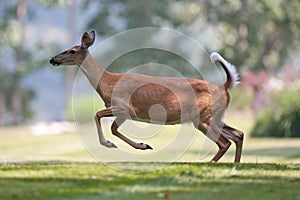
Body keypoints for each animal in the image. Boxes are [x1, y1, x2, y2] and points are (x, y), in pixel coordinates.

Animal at [49, 30, 244, 162]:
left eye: (72, 51)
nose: (52, 59)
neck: (108, 82)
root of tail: (224, 86)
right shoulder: (122, 111)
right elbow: (112, 127)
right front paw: (143, 145)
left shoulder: (125, 107)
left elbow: (100, 117)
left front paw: (114, 144)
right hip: (214, 116)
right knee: (238, 134)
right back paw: (234, 165)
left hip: (202, 117)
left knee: (225, 142)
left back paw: (210, 163)